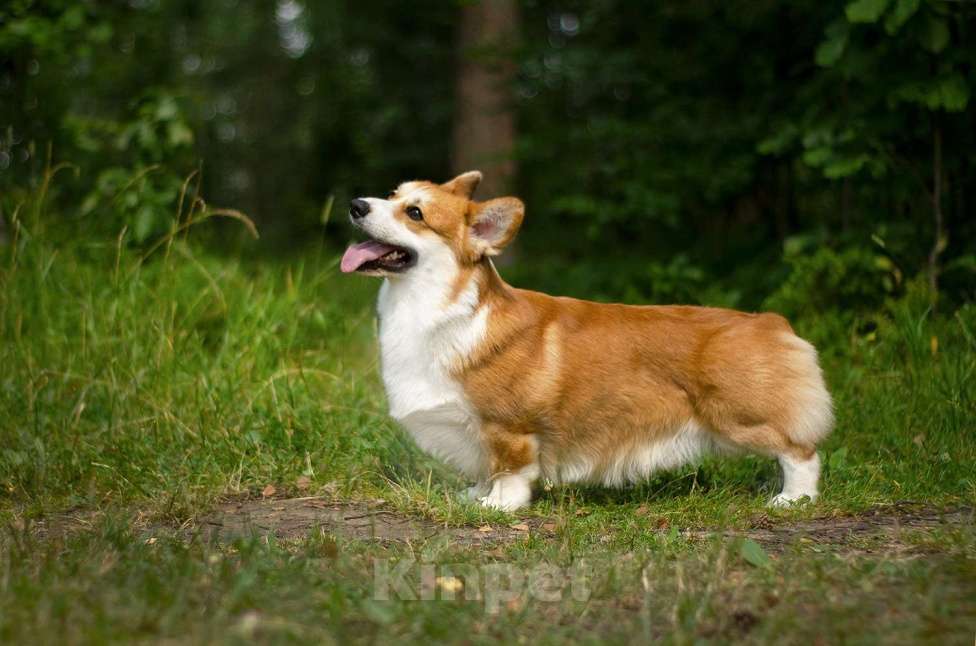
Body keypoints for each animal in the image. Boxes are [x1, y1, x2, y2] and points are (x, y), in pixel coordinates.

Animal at [342, 172, 832, 512]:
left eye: (415, 213)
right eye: (393, 194)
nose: (356, 204)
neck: (437, 307)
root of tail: (773, 323)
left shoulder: (508, 427)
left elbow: (511, 471)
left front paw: (497, 506)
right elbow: (486, 468)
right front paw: (475, 494)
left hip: (743, 418)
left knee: (800, 453)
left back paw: (793, 500)